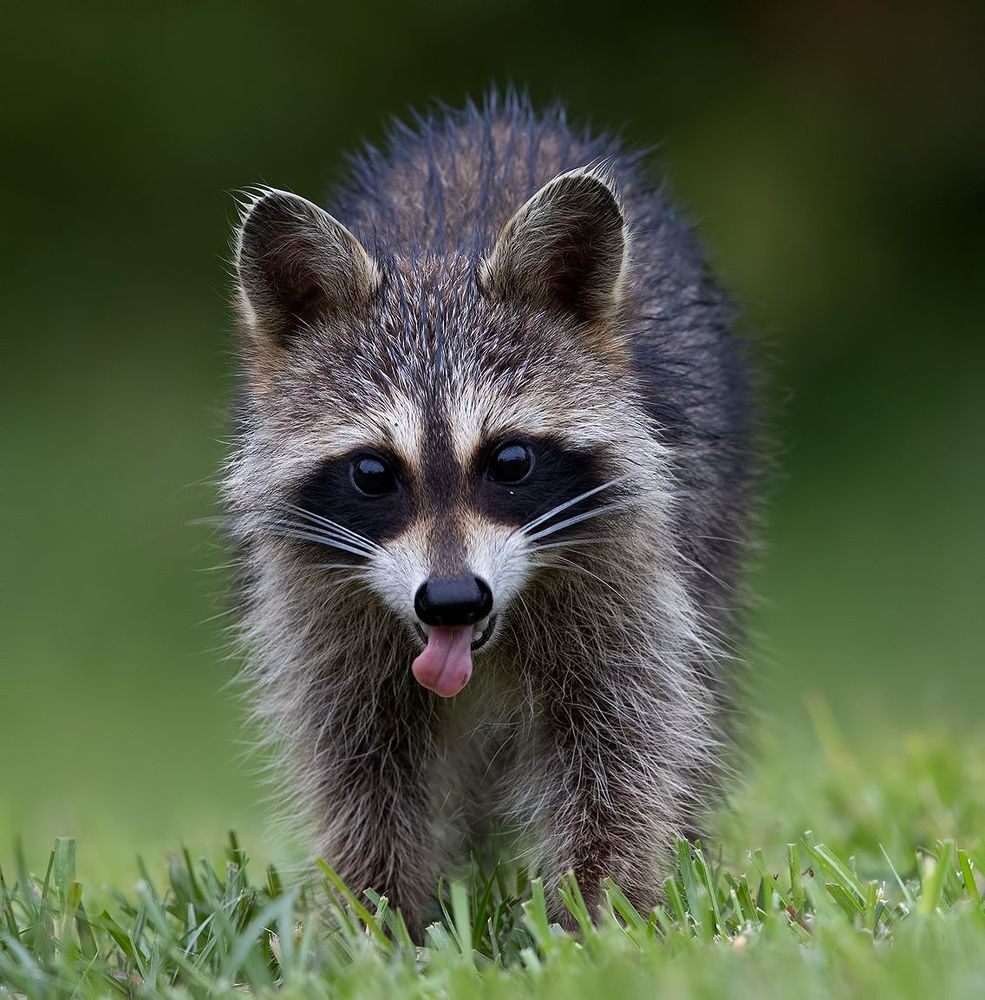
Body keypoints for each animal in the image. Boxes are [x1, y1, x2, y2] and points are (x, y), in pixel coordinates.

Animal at [224, 94, 756, 937]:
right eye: (373, 473)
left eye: (509, 463)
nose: (451, 600)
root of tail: (501, 115)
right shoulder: (320, 606)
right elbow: (357, 760)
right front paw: (370, 916)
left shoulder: (631, 558)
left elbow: (623, 740)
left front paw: (595, 913)